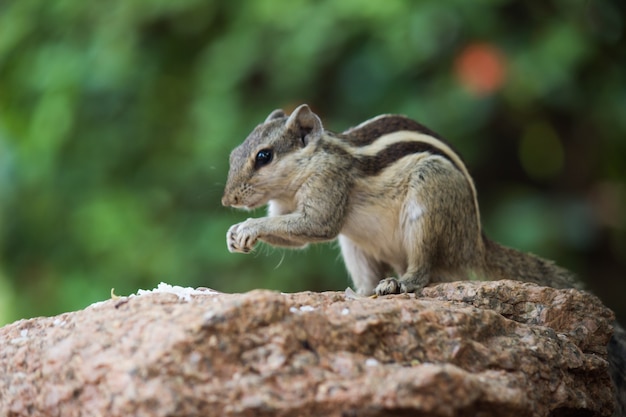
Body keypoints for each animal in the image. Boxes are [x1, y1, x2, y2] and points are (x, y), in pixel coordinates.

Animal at [221, 104, 580, 296]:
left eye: (264, 156)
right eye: (234, 153)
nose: (227, 200)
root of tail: (475, 243)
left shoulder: (328, 183)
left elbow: (317, 224)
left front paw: (248, 226)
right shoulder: (284, 207)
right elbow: (296, 238)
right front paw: (234, 234)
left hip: (428, 206)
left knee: (423, 269)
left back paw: (398, 284)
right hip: (356, 247)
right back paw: (361, 293)